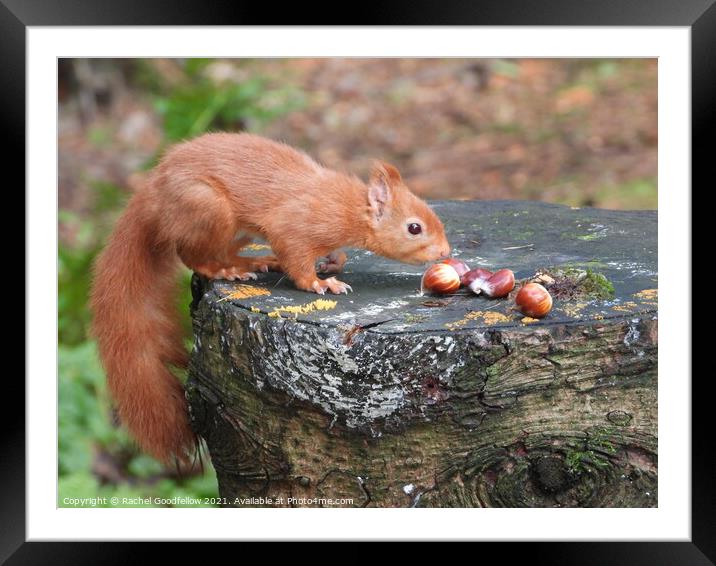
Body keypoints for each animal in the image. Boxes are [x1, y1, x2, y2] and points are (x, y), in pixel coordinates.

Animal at [88, 133, 448, 466]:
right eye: (414, 228)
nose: (445, 252)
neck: (347, 207)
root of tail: (154, 192)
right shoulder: (294, 227)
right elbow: (296, 259)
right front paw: (321, 284)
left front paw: (334, 262)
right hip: (208, 209)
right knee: (193, 256)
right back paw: (230, 270)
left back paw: (254, 262)